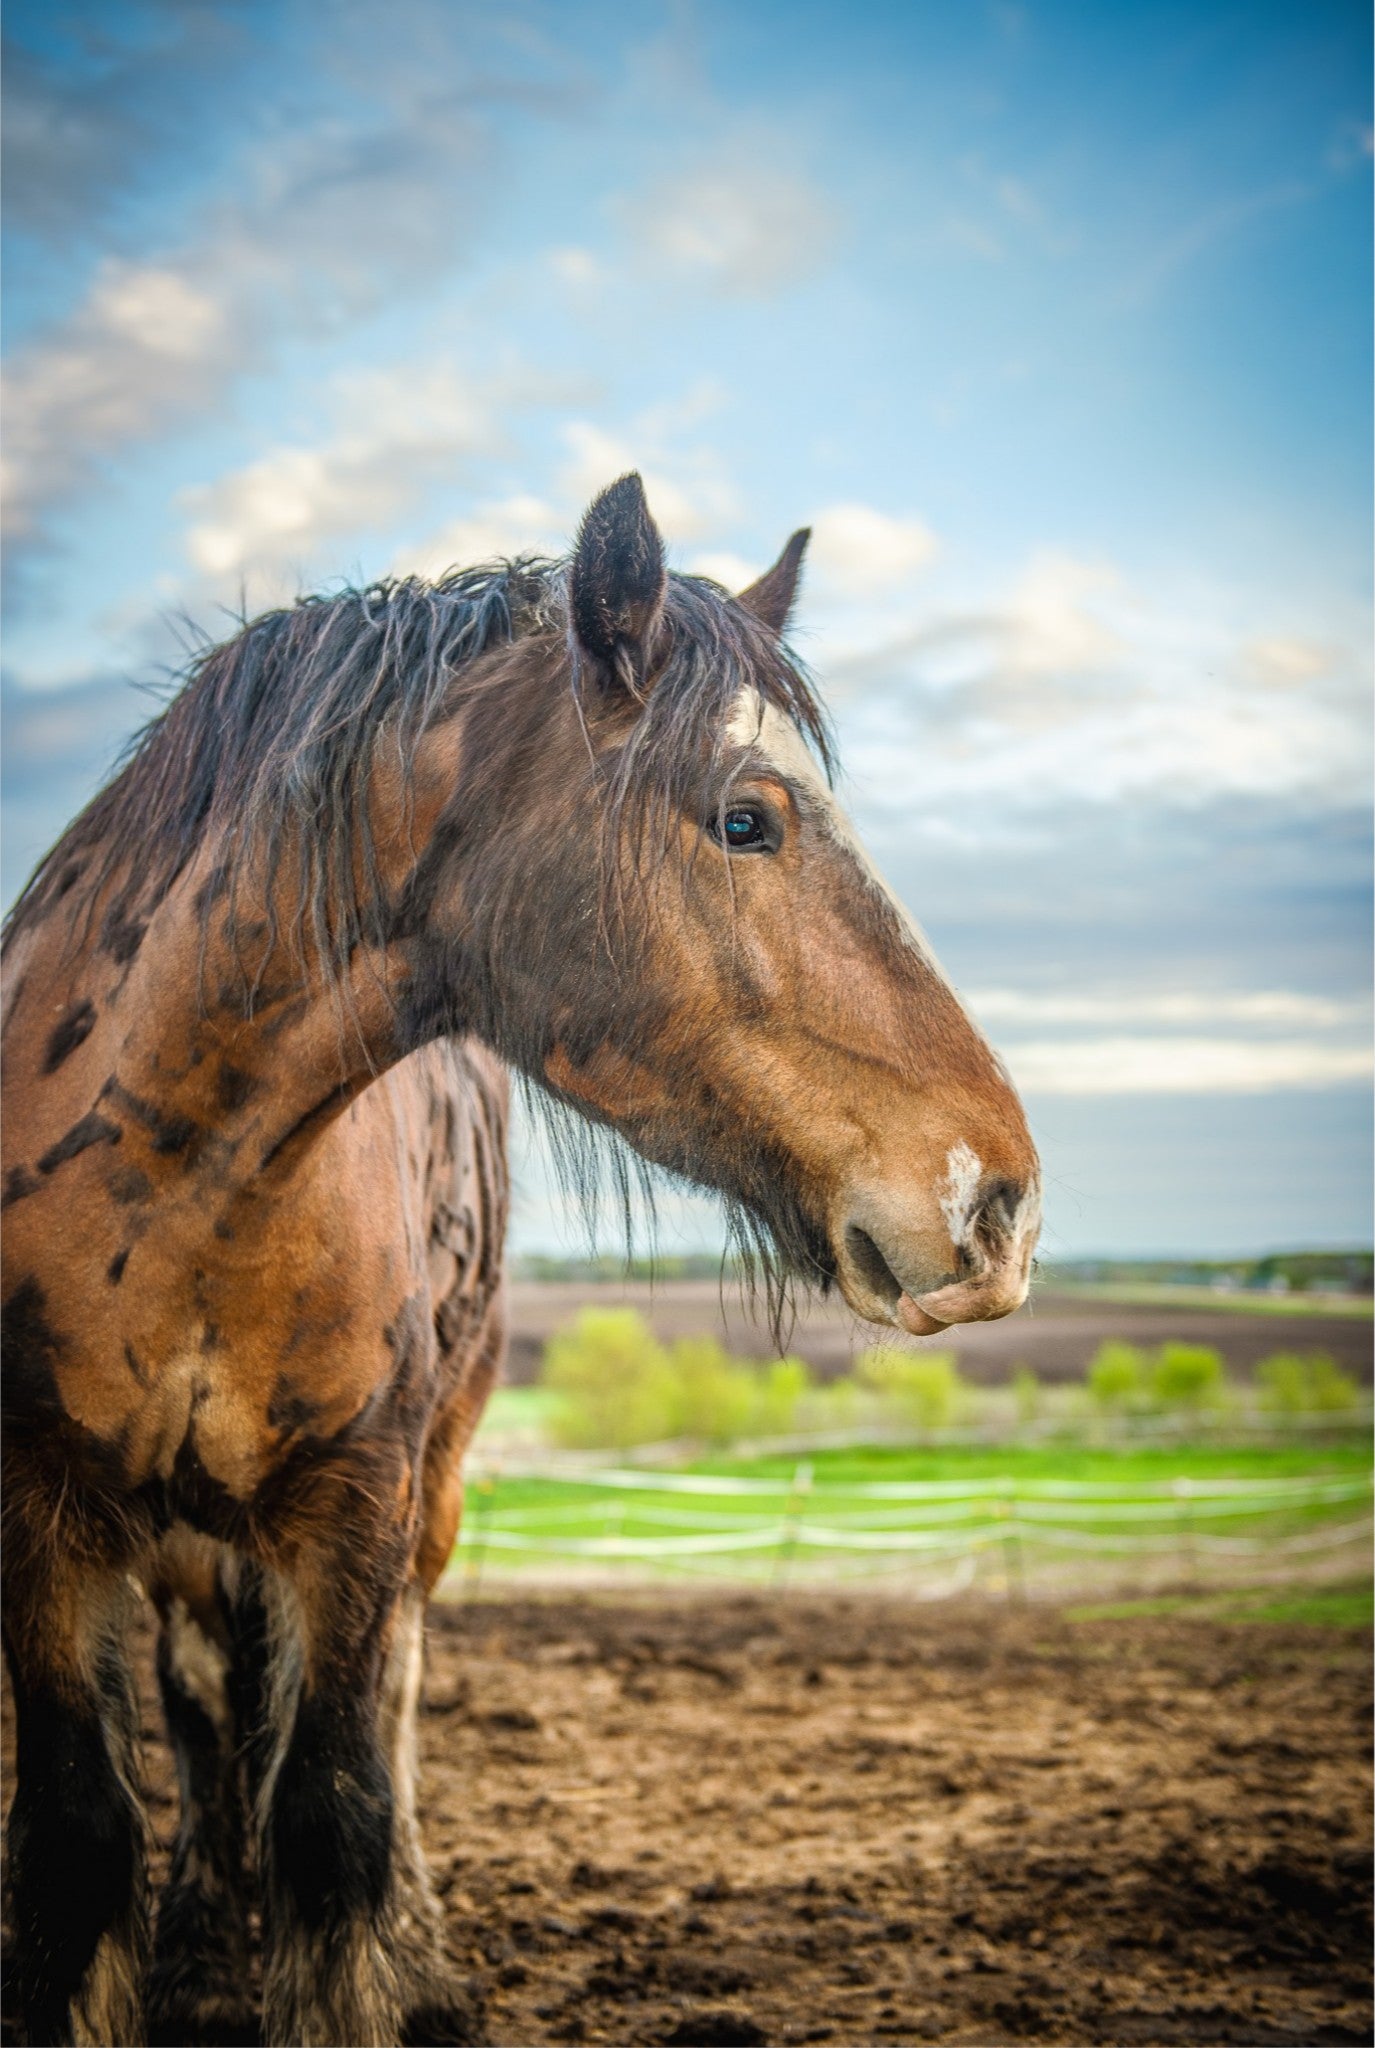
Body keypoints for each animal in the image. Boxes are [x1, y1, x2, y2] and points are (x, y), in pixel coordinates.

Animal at [0, 475, 1032, 2048]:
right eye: (747, 818)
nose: (1000, 1200)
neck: (174, 1174)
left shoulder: (354, 1502)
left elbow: (336, 1815)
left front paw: (375, 1968)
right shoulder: (42, 1518)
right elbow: (81, 1840)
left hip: (422, 1492)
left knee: (383, 1712)